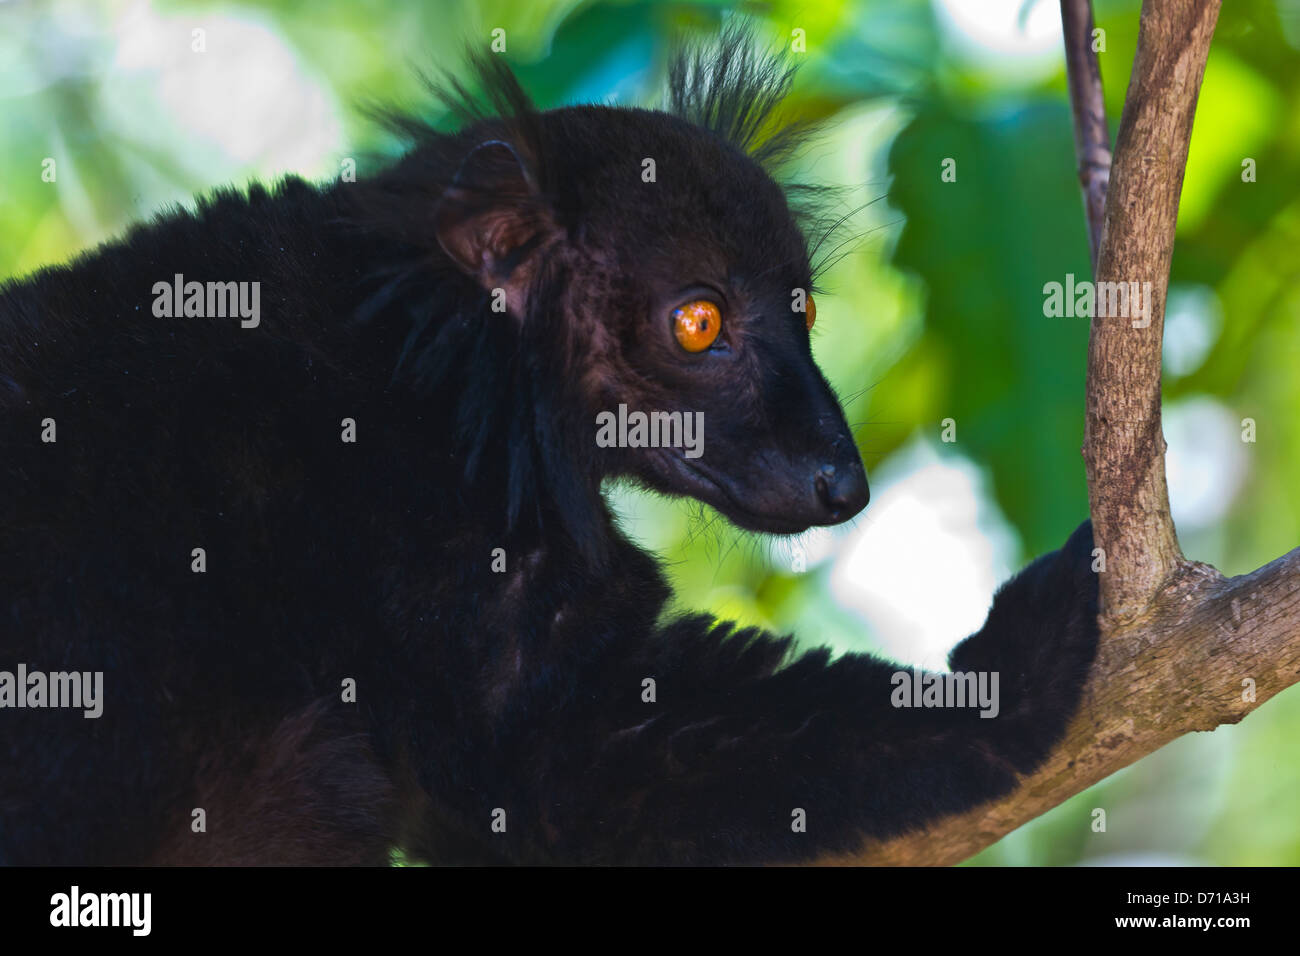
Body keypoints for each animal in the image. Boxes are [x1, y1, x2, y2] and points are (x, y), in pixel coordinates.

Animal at [0, 28, 1099, 865]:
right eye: (697, 322)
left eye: (808, 309)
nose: (842, 480)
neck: (439, 366)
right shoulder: (435, 546)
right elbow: (551, 770)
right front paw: (1018, 671)